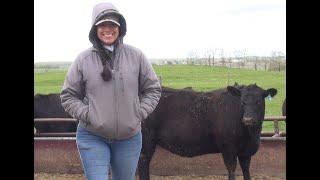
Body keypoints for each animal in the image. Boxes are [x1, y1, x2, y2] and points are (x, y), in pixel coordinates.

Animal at [139, 83, 276, 180]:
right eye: (242, 102)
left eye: (259, 101)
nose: (248, 119)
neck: (251, 134)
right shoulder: (228, 149)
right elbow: (231, 171)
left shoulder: (246, 152)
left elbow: (247, 173)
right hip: (146, 143)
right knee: (143, 164)